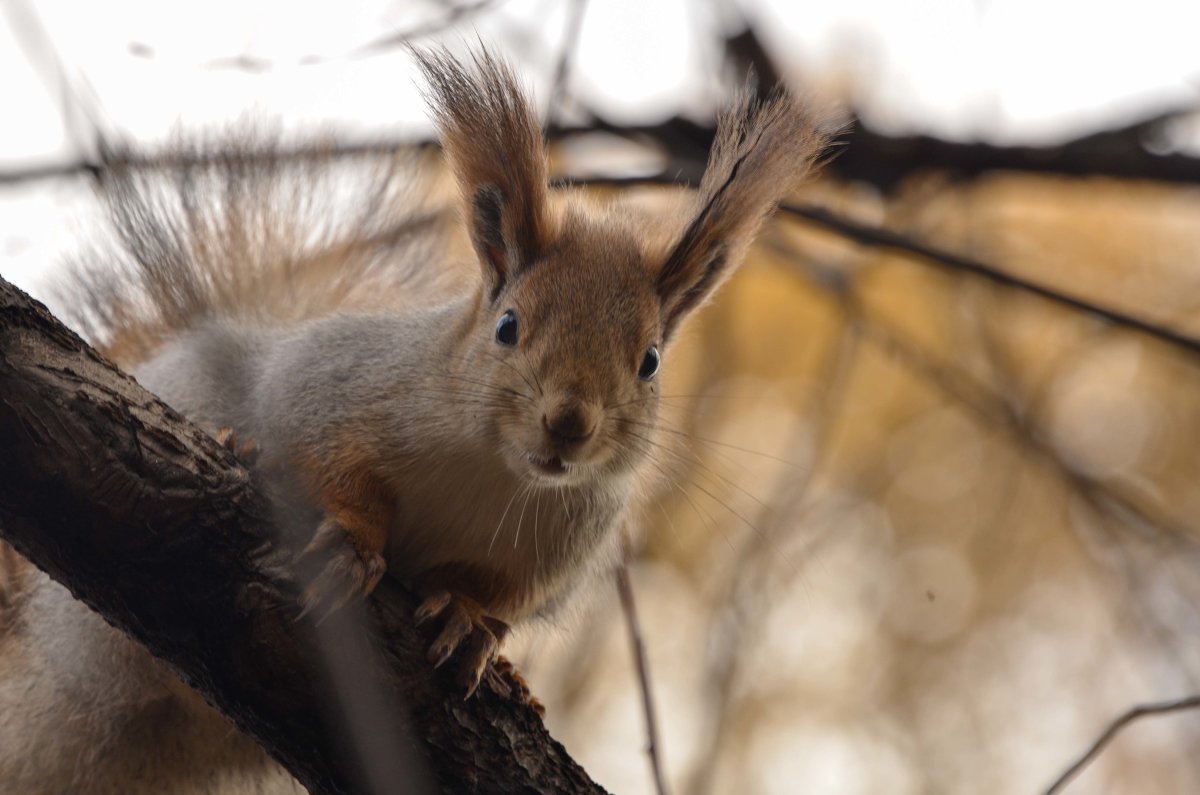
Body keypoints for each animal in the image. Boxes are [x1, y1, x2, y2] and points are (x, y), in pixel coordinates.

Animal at [0, 48, 830, 792]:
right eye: (508, 326)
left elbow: (500, 591)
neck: (495, 471)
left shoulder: (557, 542)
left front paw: (469, 618)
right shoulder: (331, 387)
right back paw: (239, 448)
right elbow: (327, 461)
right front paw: (351, 543)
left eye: (651, 360)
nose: (568, 422)